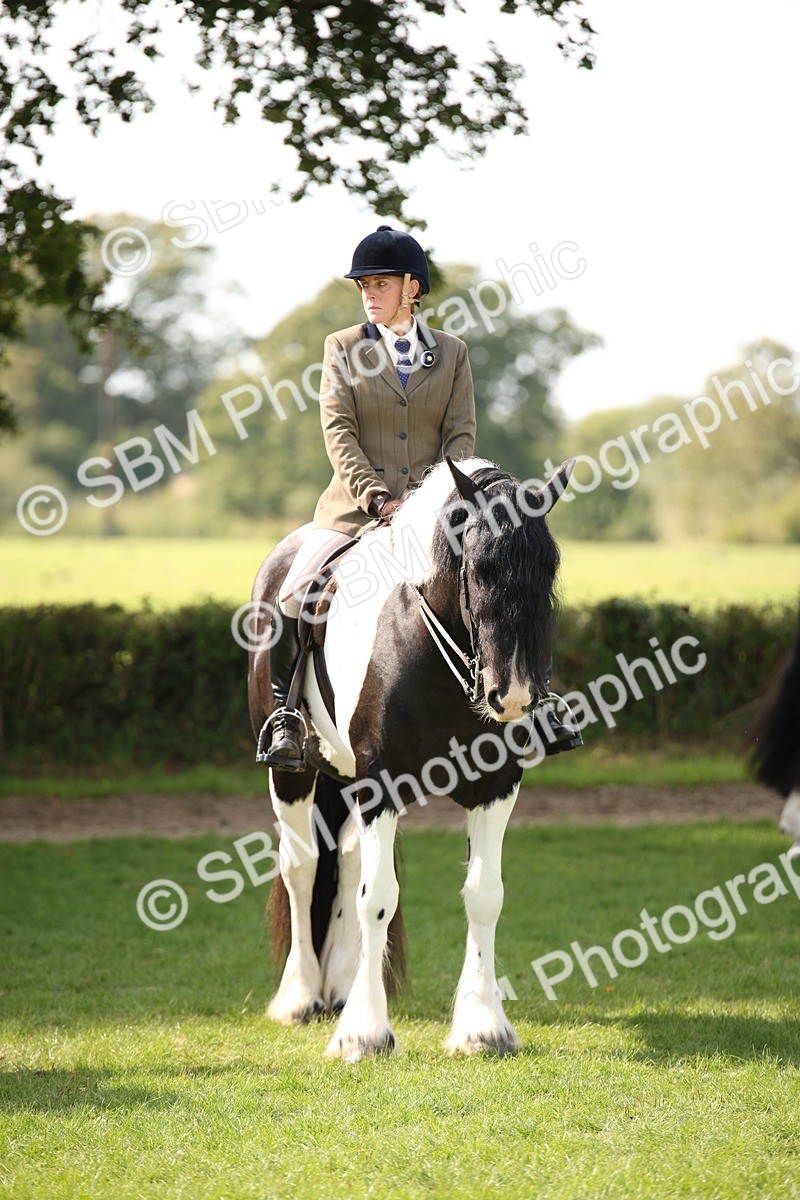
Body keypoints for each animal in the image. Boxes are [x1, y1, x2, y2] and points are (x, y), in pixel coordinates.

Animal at [248, 455, 575, 1062]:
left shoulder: (496, 784)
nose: (516, 694)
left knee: (348, 860)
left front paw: (482, 1026)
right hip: (294, 774)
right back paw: (300, 996)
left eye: (550, 567)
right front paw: (363, 1033)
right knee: (302, 866)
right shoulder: (379, 784)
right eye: (480, 567)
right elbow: (377, 898)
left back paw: (341, 983)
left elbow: (484, 896)